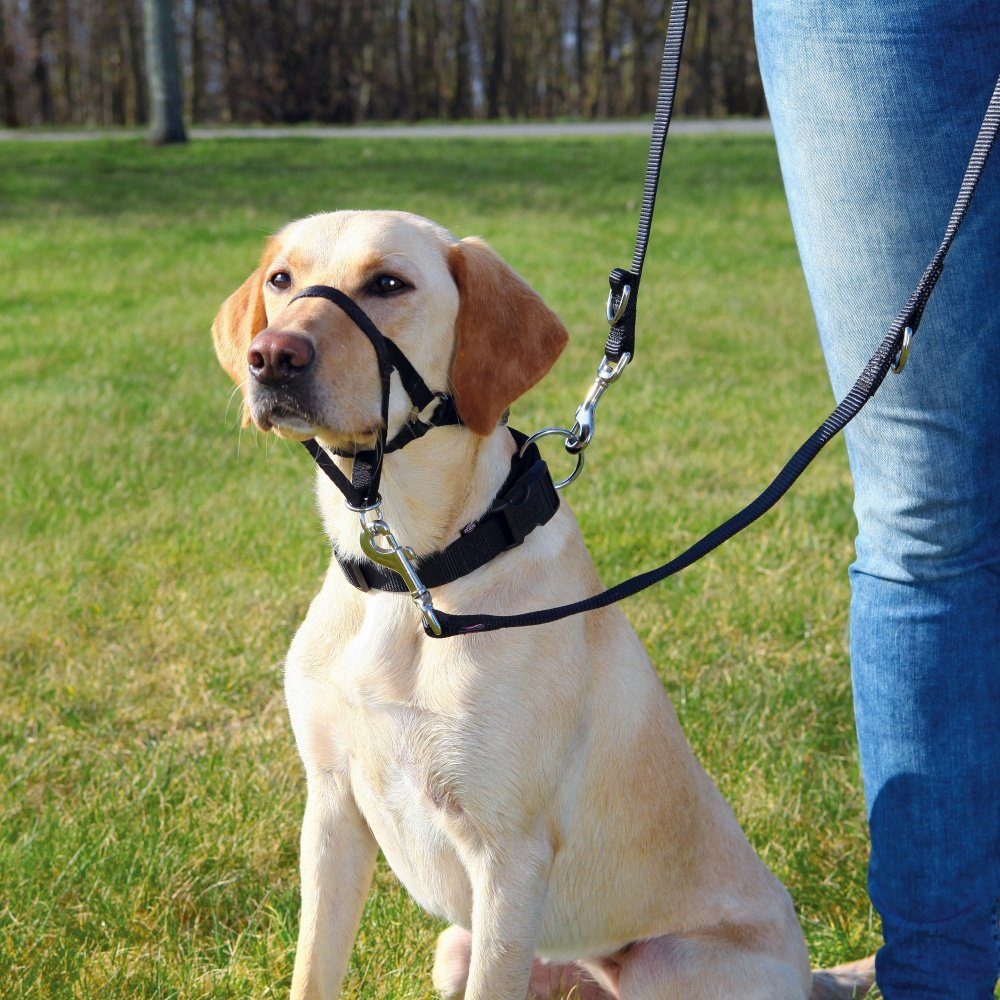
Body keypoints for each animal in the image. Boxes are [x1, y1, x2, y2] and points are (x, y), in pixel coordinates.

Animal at [213, 213, 876, 1000]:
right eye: (281, 279)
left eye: (388, 283)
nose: (272, 357)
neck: (412, 577)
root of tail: (813, 977)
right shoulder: (331, 810)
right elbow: (314, 971)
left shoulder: (508, 854)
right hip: (456, 948)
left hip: (661, 967)